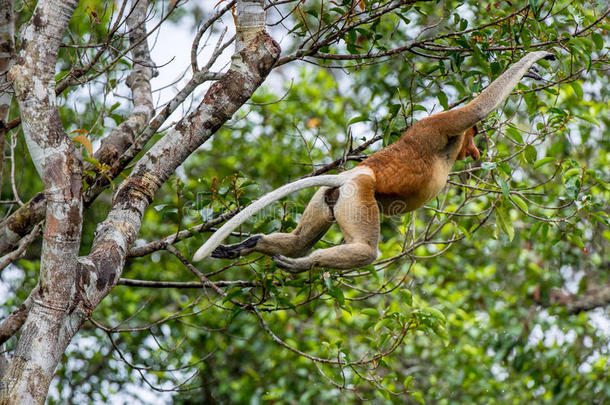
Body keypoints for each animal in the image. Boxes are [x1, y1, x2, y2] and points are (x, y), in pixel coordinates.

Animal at [192, 51, 552, 272]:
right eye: (474, 134)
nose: (475, 151)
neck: (450, 147)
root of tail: (349, 176)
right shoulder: (437, 127)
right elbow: (478, 107)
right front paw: (534, 61)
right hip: (359, 196)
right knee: (365, 249)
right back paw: (306, 264)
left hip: (327, 199)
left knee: (299, 241)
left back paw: (253, 245)